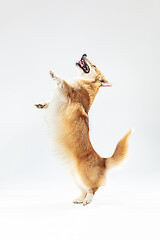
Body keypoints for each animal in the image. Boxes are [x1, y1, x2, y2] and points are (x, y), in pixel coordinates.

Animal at [35, 54, 132, 206]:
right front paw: (42, 104)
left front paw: (54, 75)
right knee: (84, 189)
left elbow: (62, 81)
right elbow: (49, 102)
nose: (84, 54)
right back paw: (80, 199)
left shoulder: (68, 91)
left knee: (93, 189)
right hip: (76, 177)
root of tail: (102, 160)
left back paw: (87, 200)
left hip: (84, 176)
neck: (86, 83)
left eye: (95, 65)